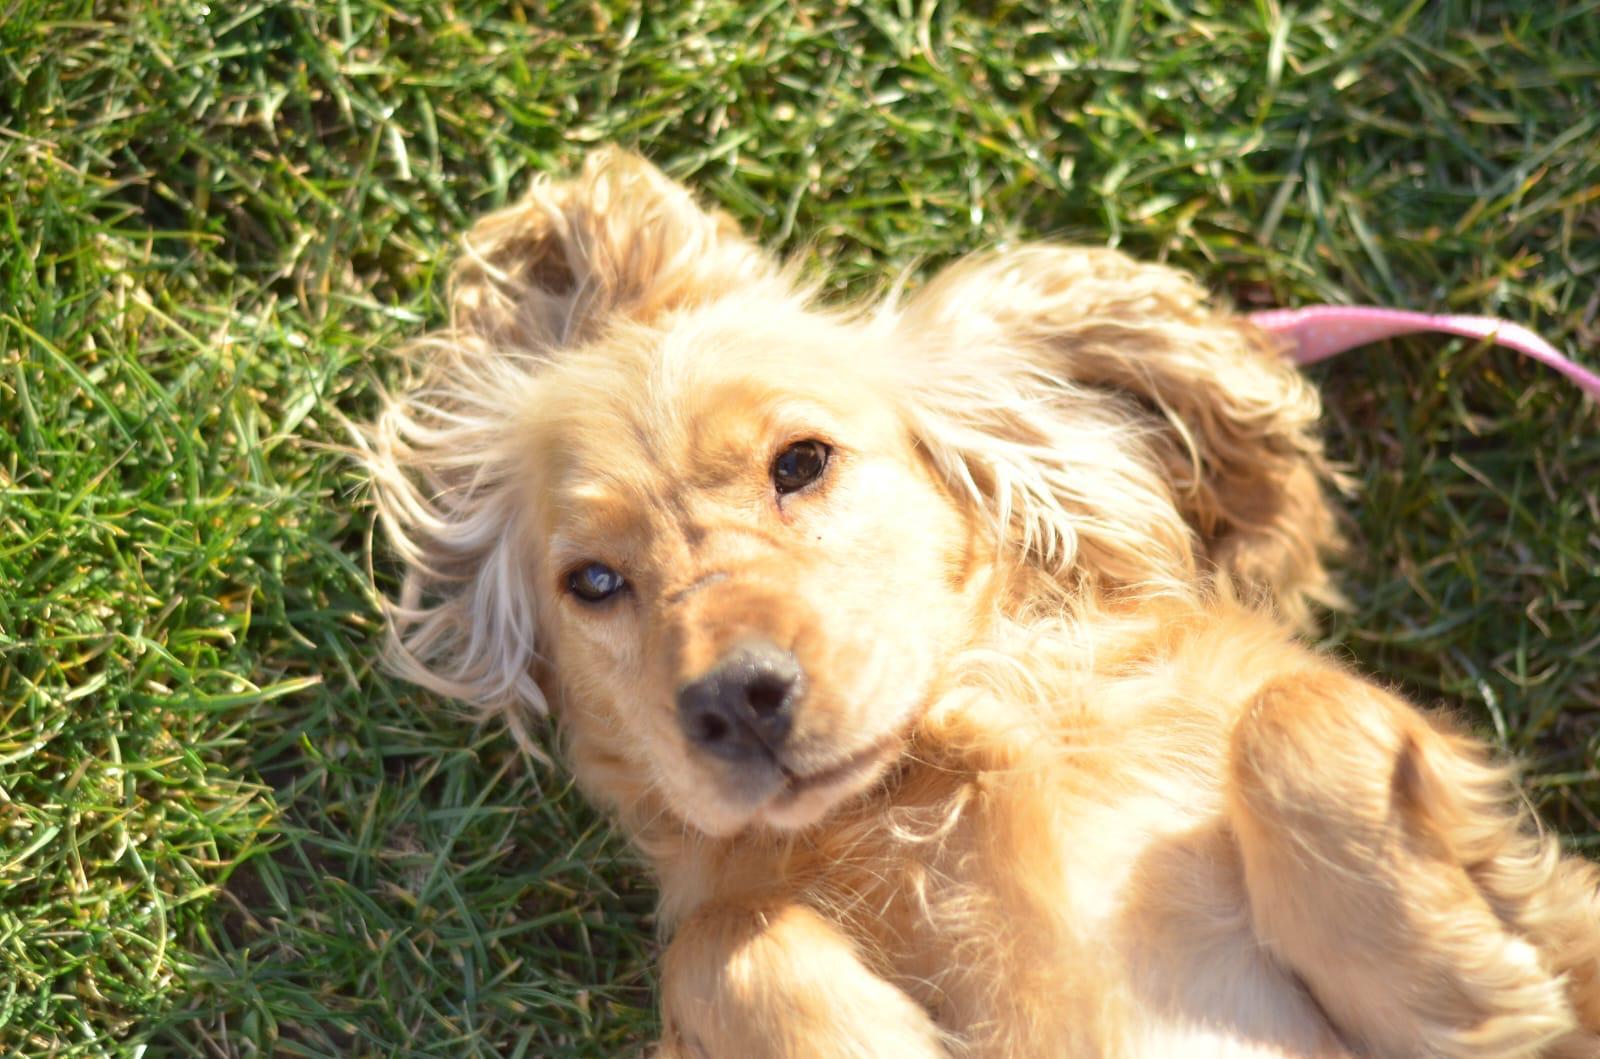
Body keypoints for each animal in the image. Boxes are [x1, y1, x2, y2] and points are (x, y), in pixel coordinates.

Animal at [363, 149, 1600, 1058]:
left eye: (801, 461)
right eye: (593, 583)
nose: (736, 701)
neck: (936, 781)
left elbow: (1291, 715)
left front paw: (1460, 998)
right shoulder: (732, 924)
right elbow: (724, 941)